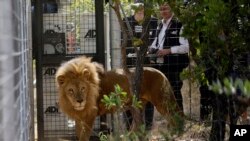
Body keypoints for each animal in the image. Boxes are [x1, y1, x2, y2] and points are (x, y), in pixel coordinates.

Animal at [55, 55, 184, 140]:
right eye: (71, 90)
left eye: (83, 88)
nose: (80, 101)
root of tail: (161, 73)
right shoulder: (79, 116)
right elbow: (78, 134)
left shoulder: (90, 114)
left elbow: (84, 136)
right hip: (137, 104)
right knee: (138, 124)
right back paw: (128, 136)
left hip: (162, 101)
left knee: (175, 116)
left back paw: (176, 134)